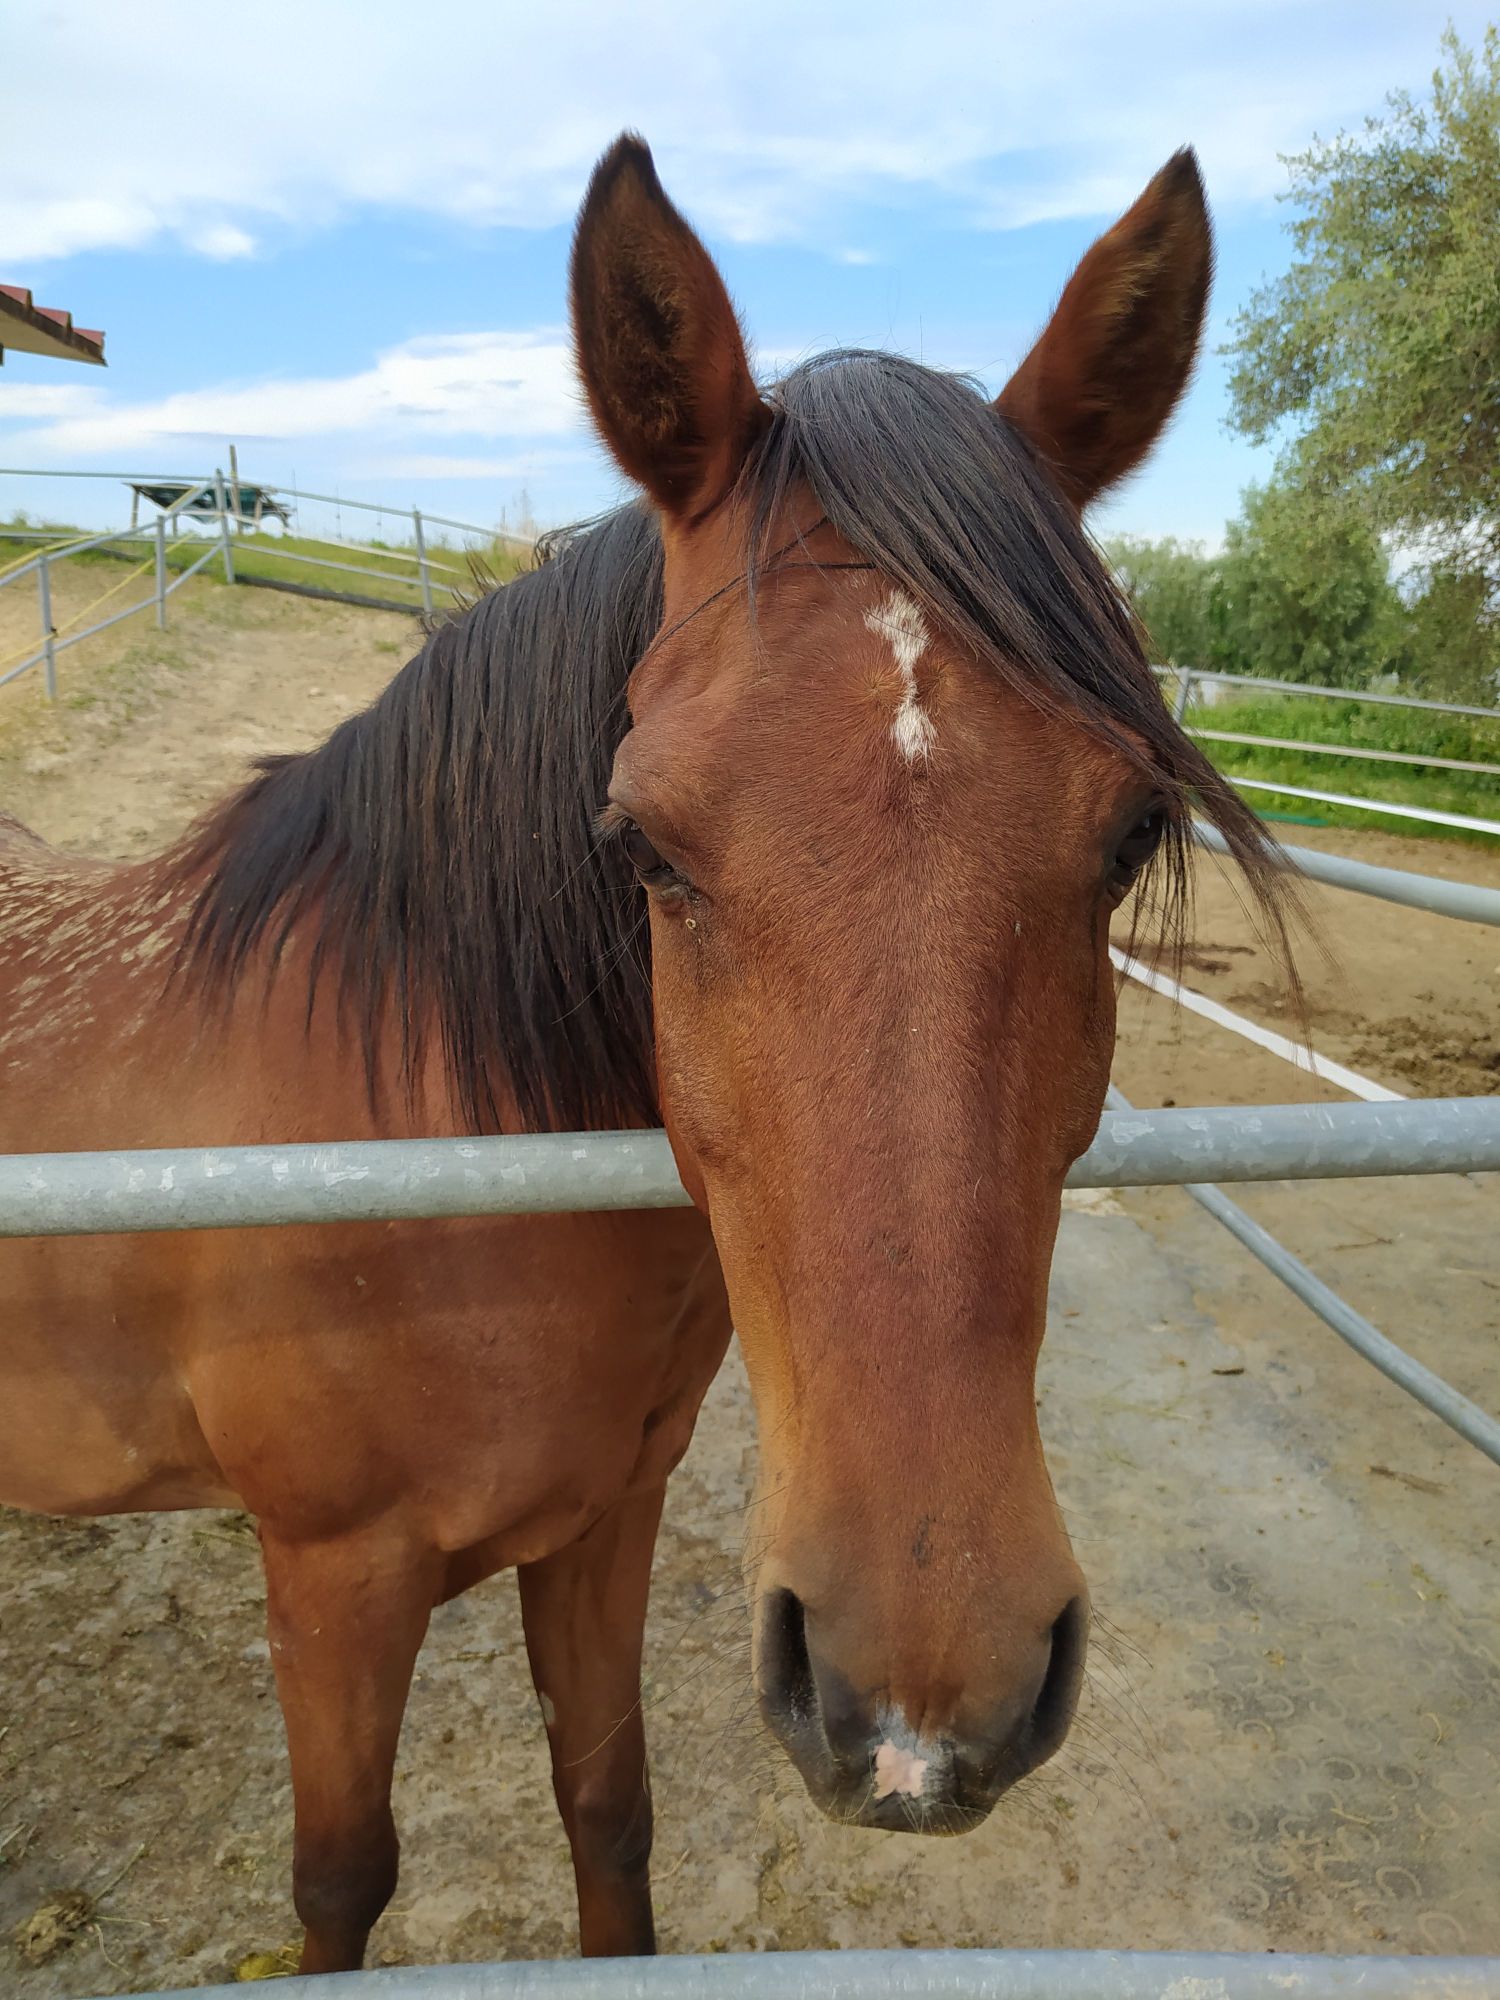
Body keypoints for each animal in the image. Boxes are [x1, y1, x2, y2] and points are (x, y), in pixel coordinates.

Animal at [0, 137, 1296, 1968]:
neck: (436, 1158)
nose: (927, 1695)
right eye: (648, 850)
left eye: (1127, 836)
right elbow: (338, 1879)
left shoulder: (606, 1523)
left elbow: (610, 1812)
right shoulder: (329, 1576)